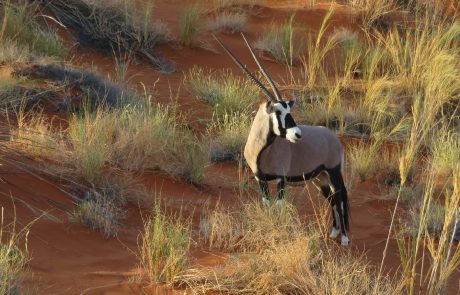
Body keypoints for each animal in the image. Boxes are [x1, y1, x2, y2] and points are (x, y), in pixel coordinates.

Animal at [214, 34, 350, 247]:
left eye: (289, 110)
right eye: (278, 112)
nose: (297, 134)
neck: (261, 151)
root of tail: (334, 138)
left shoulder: (281, 179)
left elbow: (279, 207)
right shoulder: (260, 179)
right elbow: (267, 205)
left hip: (334, 172)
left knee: (340, 197)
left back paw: (344, 238)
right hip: (320, 177)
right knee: (331, 199)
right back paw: (334, 232)